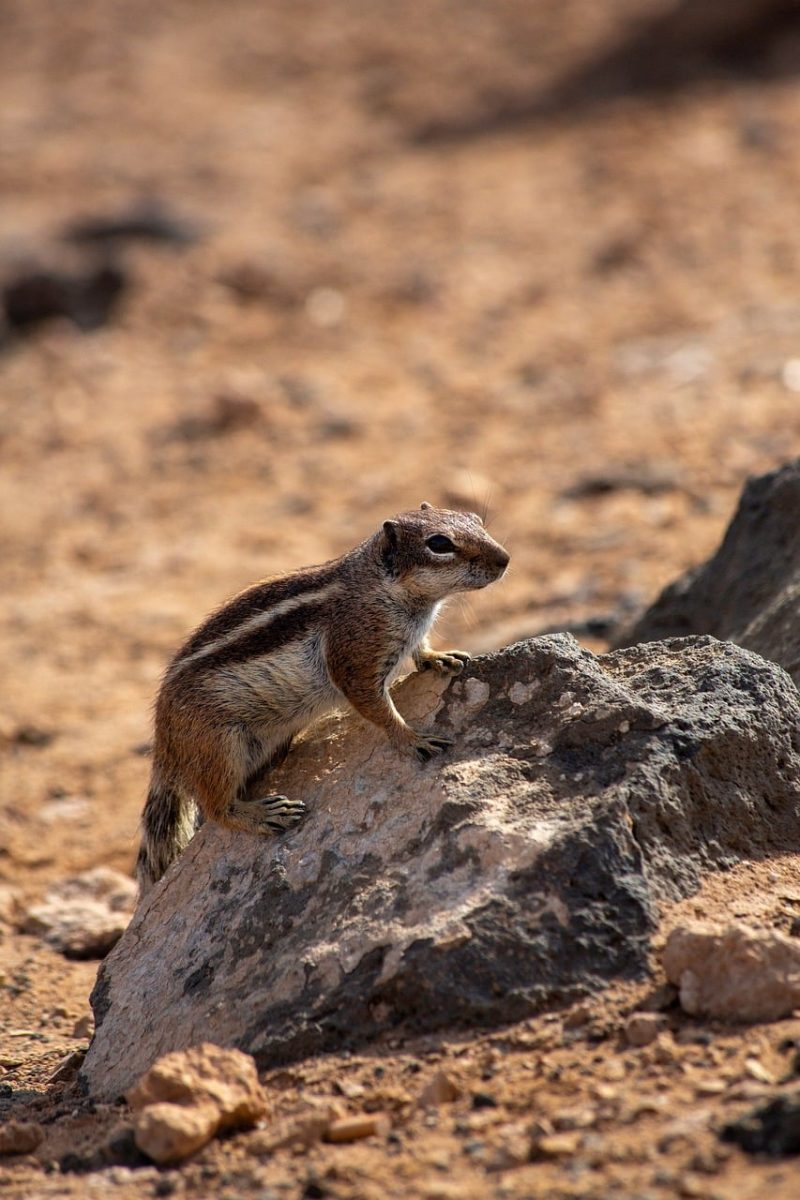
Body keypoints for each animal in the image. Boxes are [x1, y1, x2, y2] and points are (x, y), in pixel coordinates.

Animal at [136, 502, 510, 896]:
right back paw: (263, 813)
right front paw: (413, 738)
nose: (505, 559)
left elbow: (420, 650)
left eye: (476, 519)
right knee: (216, 808)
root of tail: (165, 748)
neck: (382, 587)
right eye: (439, 544)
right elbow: (376, 708)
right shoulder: (354, 657)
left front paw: (439, 656)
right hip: (218, 748)